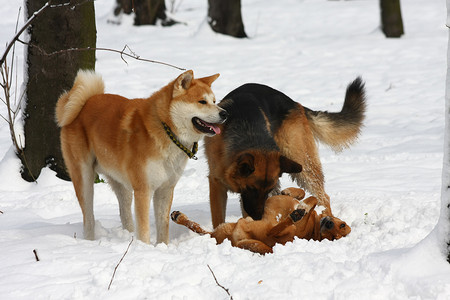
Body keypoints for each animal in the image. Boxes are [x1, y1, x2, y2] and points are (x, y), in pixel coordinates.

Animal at [55, 69, 229, 244]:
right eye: (202, 102)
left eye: (214, 101)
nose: (225, 113)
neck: (166, 129)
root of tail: (83, 103)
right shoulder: (144, 190)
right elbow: (144, 228)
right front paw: (146, 247)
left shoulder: (165, 189)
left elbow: (163, 225)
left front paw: (162, 246)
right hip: (84, 178)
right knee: (88, 217)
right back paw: (90, 241)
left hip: (121, 184)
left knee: (124, 213)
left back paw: (129, 236)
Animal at [171, 186, 350, 254]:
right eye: (343, 224)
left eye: (334, 238)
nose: (329, 223)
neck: (313, 227)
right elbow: (305, 194)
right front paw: (290, 192)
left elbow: (312, 199)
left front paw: (302, 207)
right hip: (225, 230)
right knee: (201, 230)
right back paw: (179, 217)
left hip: (276, 233)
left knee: (275, 229)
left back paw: (295, 216)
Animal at [204, 78, 366, 226]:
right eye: (252, 188)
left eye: (266, 190)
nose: (258, 217)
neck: (248, 132)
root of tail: (294, 102)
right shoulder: (217, 183)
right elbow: (218, 218)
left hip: (302, 165)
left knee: (324, 196)